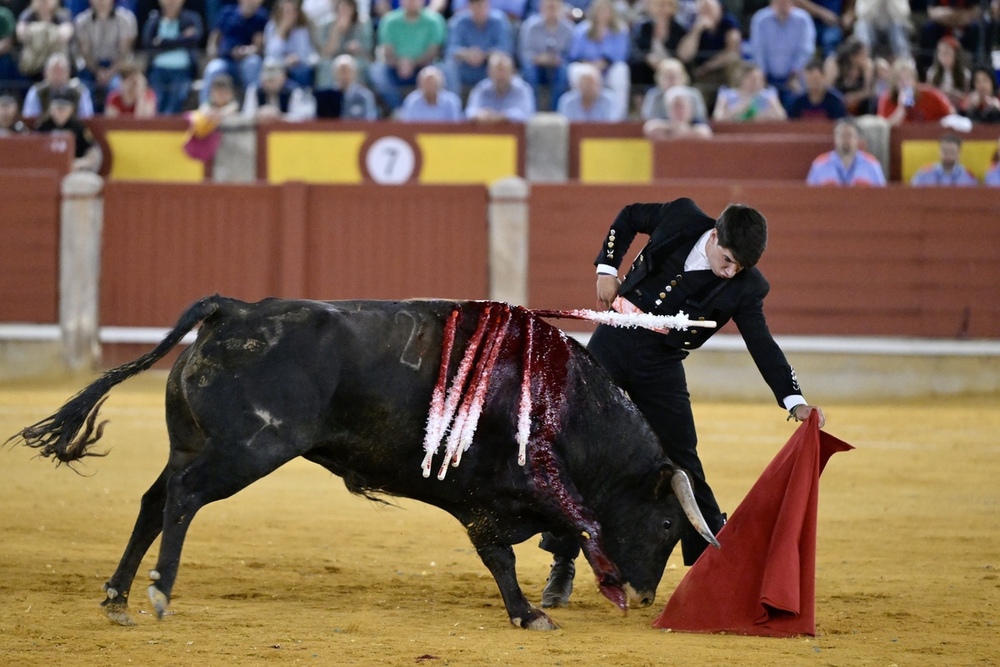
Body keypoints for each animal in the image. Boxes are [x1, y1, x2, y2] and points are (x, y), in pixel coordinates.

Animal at [7, 298, 712, 632]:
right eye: (666, 527)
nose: (645, 596)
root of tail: (234, 309)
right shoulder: (490, 498)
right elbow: (502, 557)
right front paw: (530, 614)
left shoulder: (484, 502)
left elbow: (501, 556)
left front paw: (528, 610)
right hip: (244, 453)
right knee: (181, 500)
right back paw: (157, 592)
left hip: (193, 443)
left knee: (155, 501)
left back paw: (118, 597)